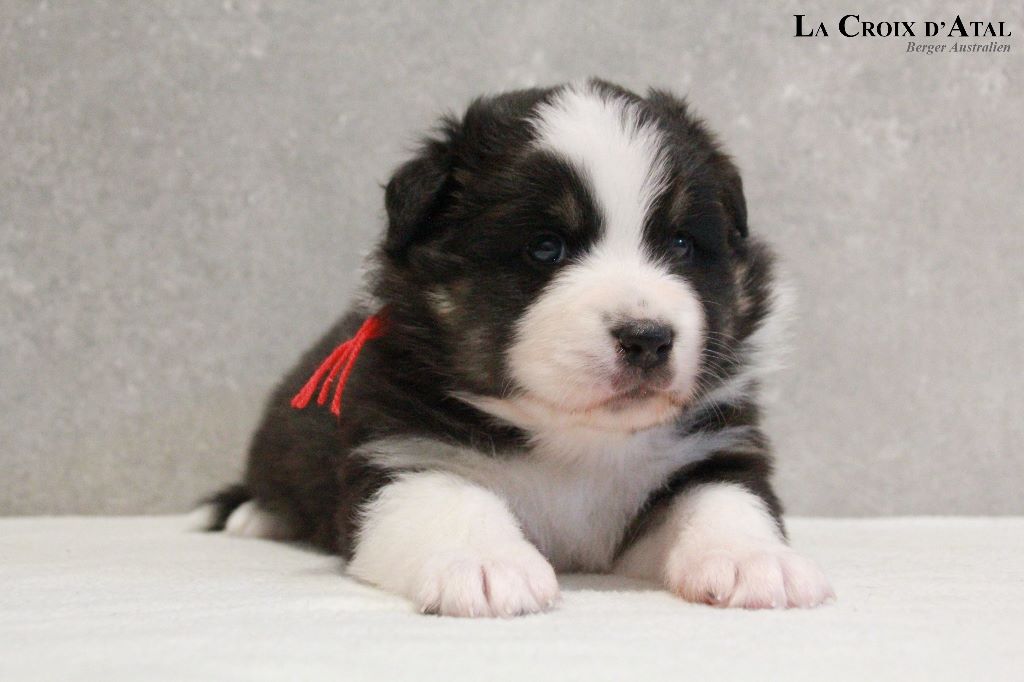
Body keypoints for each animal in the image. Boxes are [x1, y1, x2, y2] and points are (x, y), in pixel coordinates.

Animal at [197, 79, 834, 616]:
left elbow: (726, 498)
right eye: (546, 247)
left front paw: (756, 562)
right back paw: (254, 516)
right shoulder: (400, 449)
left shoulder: (714, 445)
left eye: (681, 244)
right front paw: (485, 564)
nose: (648, 338)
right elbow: (448, 498)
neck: (575, 444)